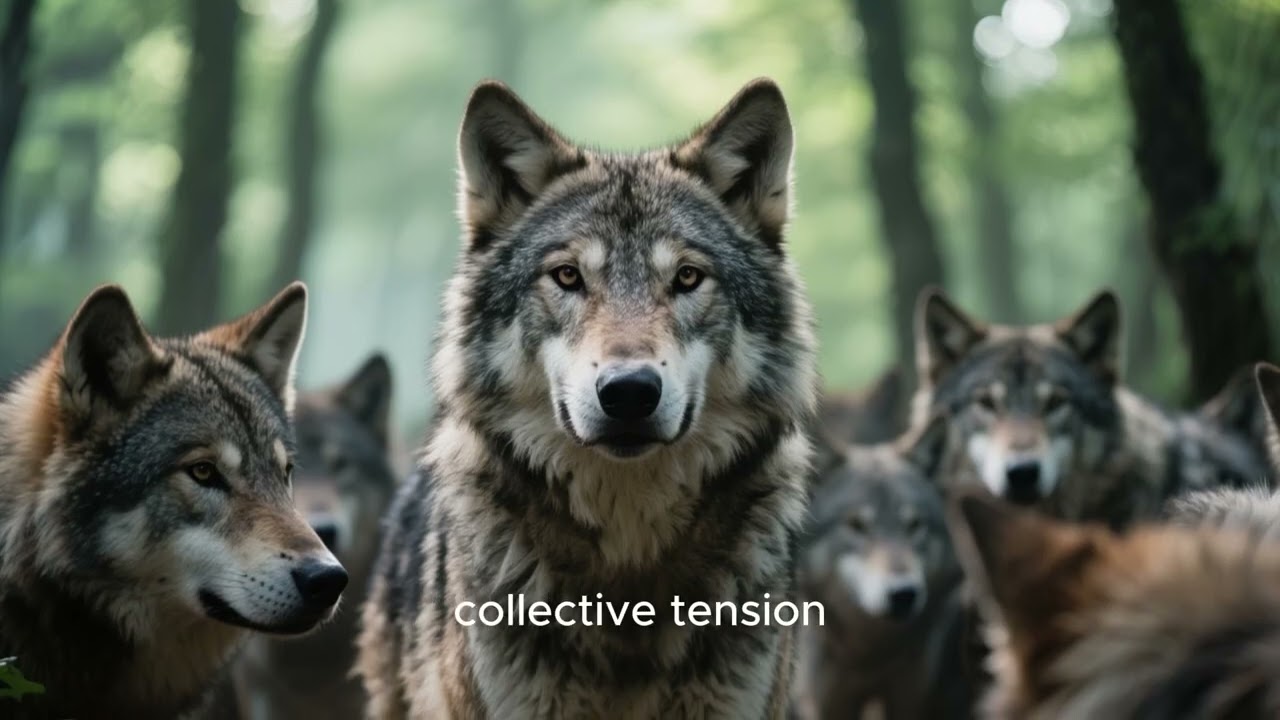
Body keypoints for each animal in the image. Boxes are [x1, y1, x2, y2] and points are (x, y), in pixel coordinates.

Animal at [793, 416, 975, 720]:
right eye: (856, 525)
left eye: (915, 525)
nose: (903, 594)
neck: (871, 655)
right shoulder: (827, 702)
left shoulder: (910, 694)